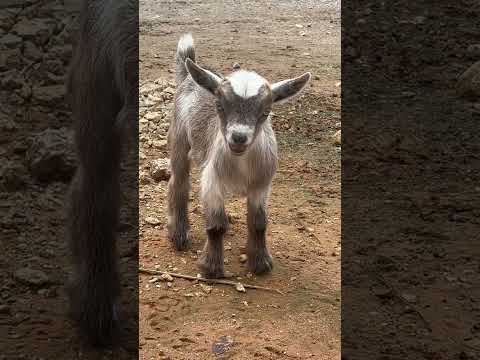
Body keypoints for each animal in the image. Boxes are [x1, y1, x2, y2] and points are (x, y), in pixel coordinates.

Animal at [169, 34, 312, 278]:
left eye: (265, 112)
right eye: (219, 106)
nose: (238, 137)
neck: (241, 163)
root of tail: (189, 75)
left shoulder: (261, 185)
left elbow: (259, 223)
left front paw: (261, 263)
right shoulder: (212, 178)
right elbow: (215, 227)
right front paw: (211, 267)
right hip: (179, 139)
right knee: (178, 182)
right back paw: (178, 234)